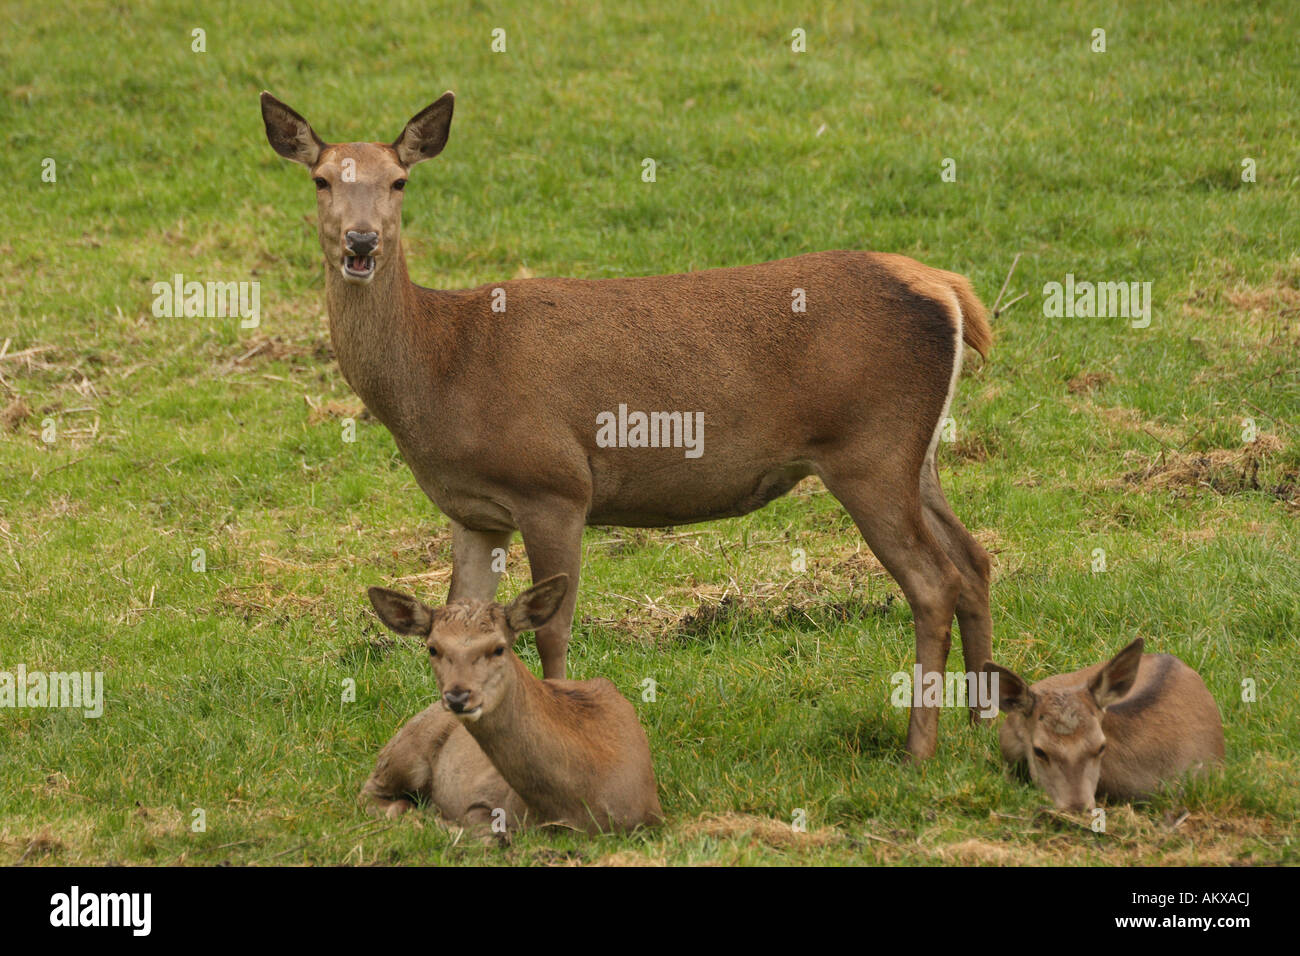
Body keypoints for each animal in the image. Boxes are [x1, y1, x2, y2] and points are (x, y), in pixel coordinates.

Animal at [261, 93, 993, 759]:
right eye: (321, 179)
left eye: (399, 180)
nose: (362, 241)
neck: (442, 367)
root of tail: (948, 288)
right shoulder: (474, 513)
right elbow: (457, 614)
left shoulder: (554, 485)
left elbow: (551, 629)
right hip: (916, 456)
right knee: (974, 558)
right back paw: (984, 724)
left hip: (870, 449)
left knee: (934, 581)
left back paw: (919, 748)